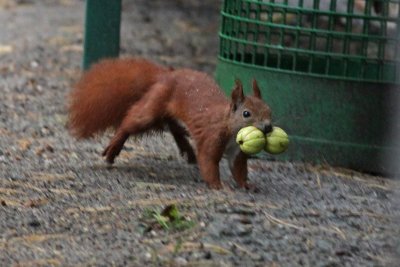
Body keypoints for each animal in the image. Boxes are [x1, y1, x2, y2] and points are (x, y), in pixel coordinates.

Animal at [69, 57, 276, 189]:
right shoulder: (212, 136)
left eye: (269, 111)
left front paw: (246, 185)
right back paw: (114, 147)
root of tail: (166, 75)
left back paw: (187, 149)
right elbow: (208, 161)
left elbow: (238, 168)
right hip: (154, 104)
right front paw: (219, 185)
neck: (230, 129)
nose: (268, 127)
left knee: (172, 125)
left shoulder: (236, 151)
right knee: (131, 121)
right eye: (246, 114)